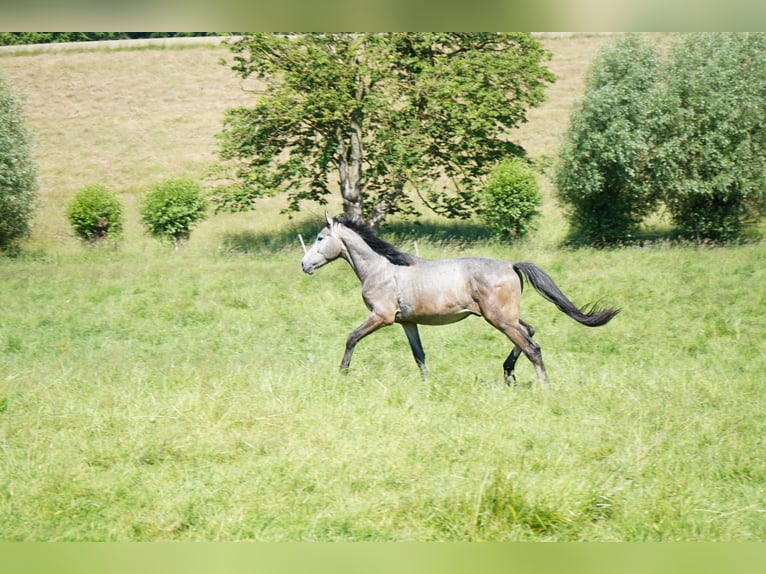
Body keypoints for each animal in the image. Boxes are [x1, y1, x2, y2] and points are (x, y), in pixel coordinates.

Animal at [300, 214, 616, 390]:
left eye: (320, 238)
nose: (304, 265)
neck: (380, 269)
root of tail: (512, 265)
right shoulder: (408, 322)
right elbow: (419, 356)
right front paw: (426, 387)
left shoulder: (382, 317)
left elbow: (351, 338)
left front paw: (342, 374)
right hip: (506, 317)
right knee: (529, 332)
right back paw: (508, 374)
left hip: (498, 318)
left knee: (532, 347)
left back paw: (543, 386)